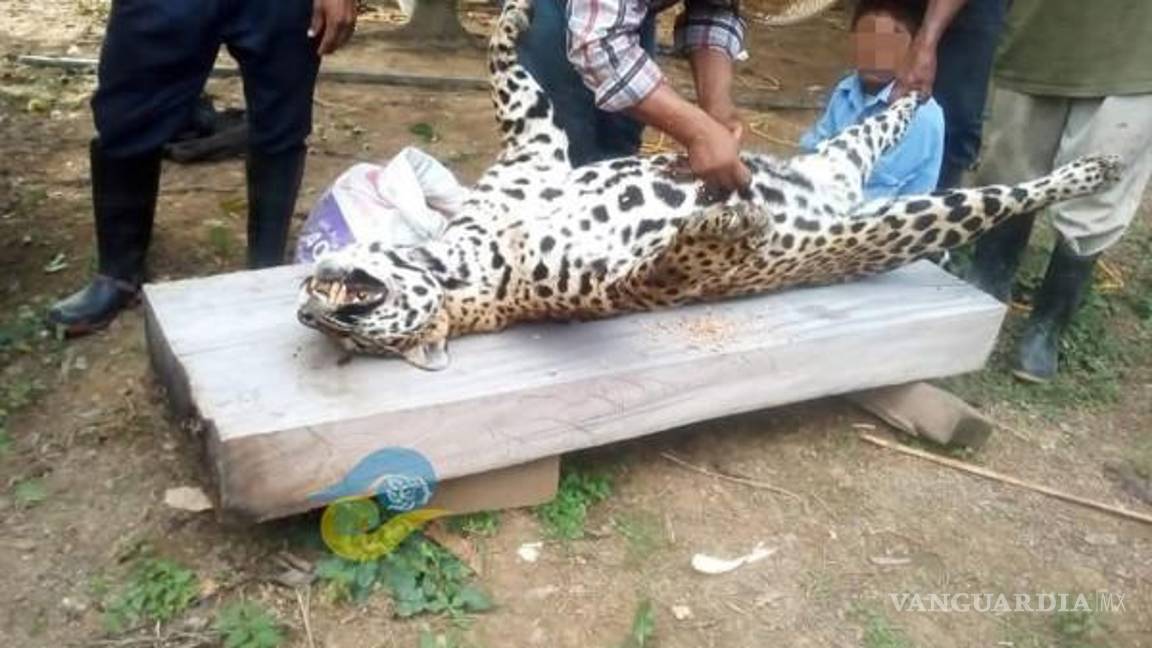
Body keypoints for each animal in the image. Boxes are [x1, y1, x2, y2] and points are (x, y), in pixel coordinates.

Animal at [296, 0, 1124, 371]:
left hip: (848, 155)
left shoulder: (535, 146)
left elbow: (512, 82)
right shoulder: (613, 282)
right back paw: (1095, 168)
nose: (307, 305)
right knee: (1003, 197)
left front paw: (509, 18)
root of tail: (841, 194)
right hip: (907, 219)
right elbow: (672, 262)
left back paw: (917, 66)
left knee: (899, 108)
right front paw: (729, 222)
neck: (460, 256)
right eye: (344, 339)